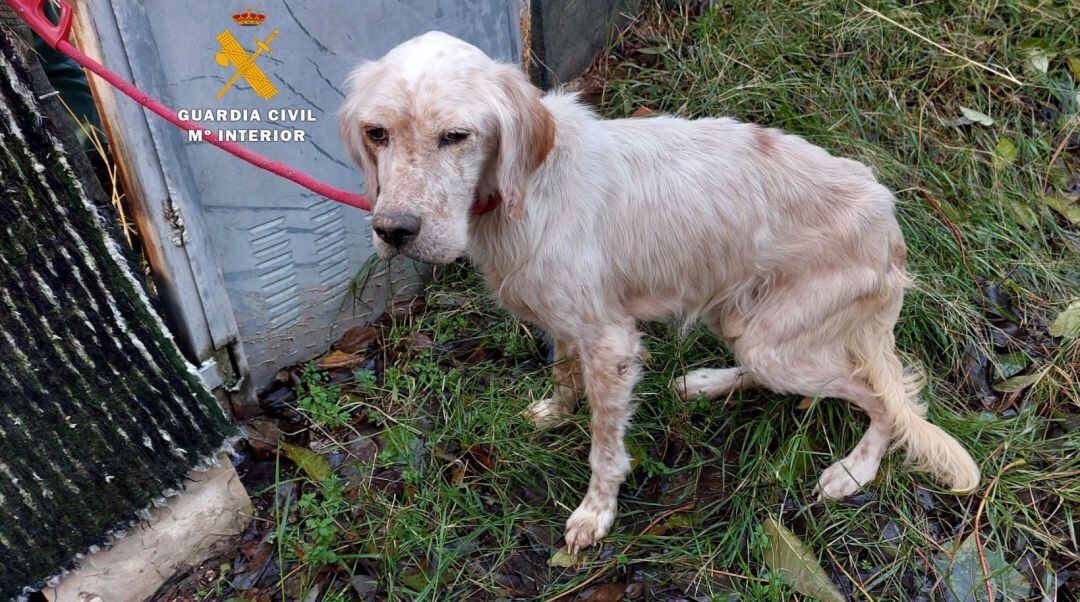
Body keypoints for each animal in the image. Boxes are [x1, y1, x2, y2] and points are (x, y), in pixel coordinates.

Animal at [341, 31, 984, 549]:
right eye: (377, 133)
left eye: (456, 135)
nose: (394, 230)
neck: (525, 188)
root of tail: (889, 223)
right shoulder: (568, 324)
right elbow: (563, 374)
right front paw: (555, 410)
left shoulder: (611, 345)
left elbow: (605, 446)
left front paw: (595, 513)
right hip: (743, 320)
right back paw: (706, 382)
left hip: (779, 344)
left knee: (886, 400)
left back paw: (854, 469)